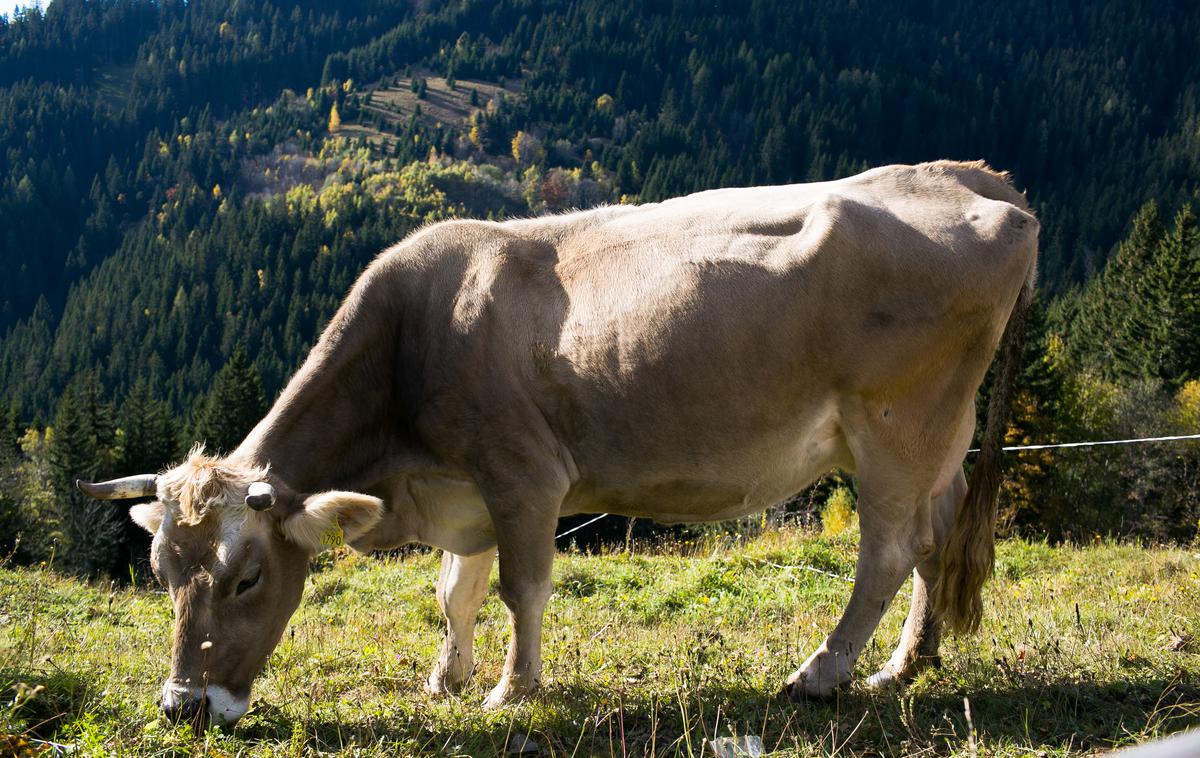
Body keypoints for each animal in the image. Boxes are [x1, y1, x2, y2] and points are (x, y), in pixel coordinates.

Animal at [82, 161, 1041, 729]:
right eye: (163, 574)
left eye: (247, 579)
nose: (182, 707)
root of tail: (978, 180)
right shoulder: (468, 488)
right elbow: (455, 592)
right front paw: (447, 678)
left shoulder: (525, 475)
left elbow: (521, 588)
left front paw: (512, 690)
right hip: (941, 437)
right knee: (938, 539)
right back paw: (906, 667)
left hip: (897, 425)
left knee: (888, 551)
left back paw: (821, 674)